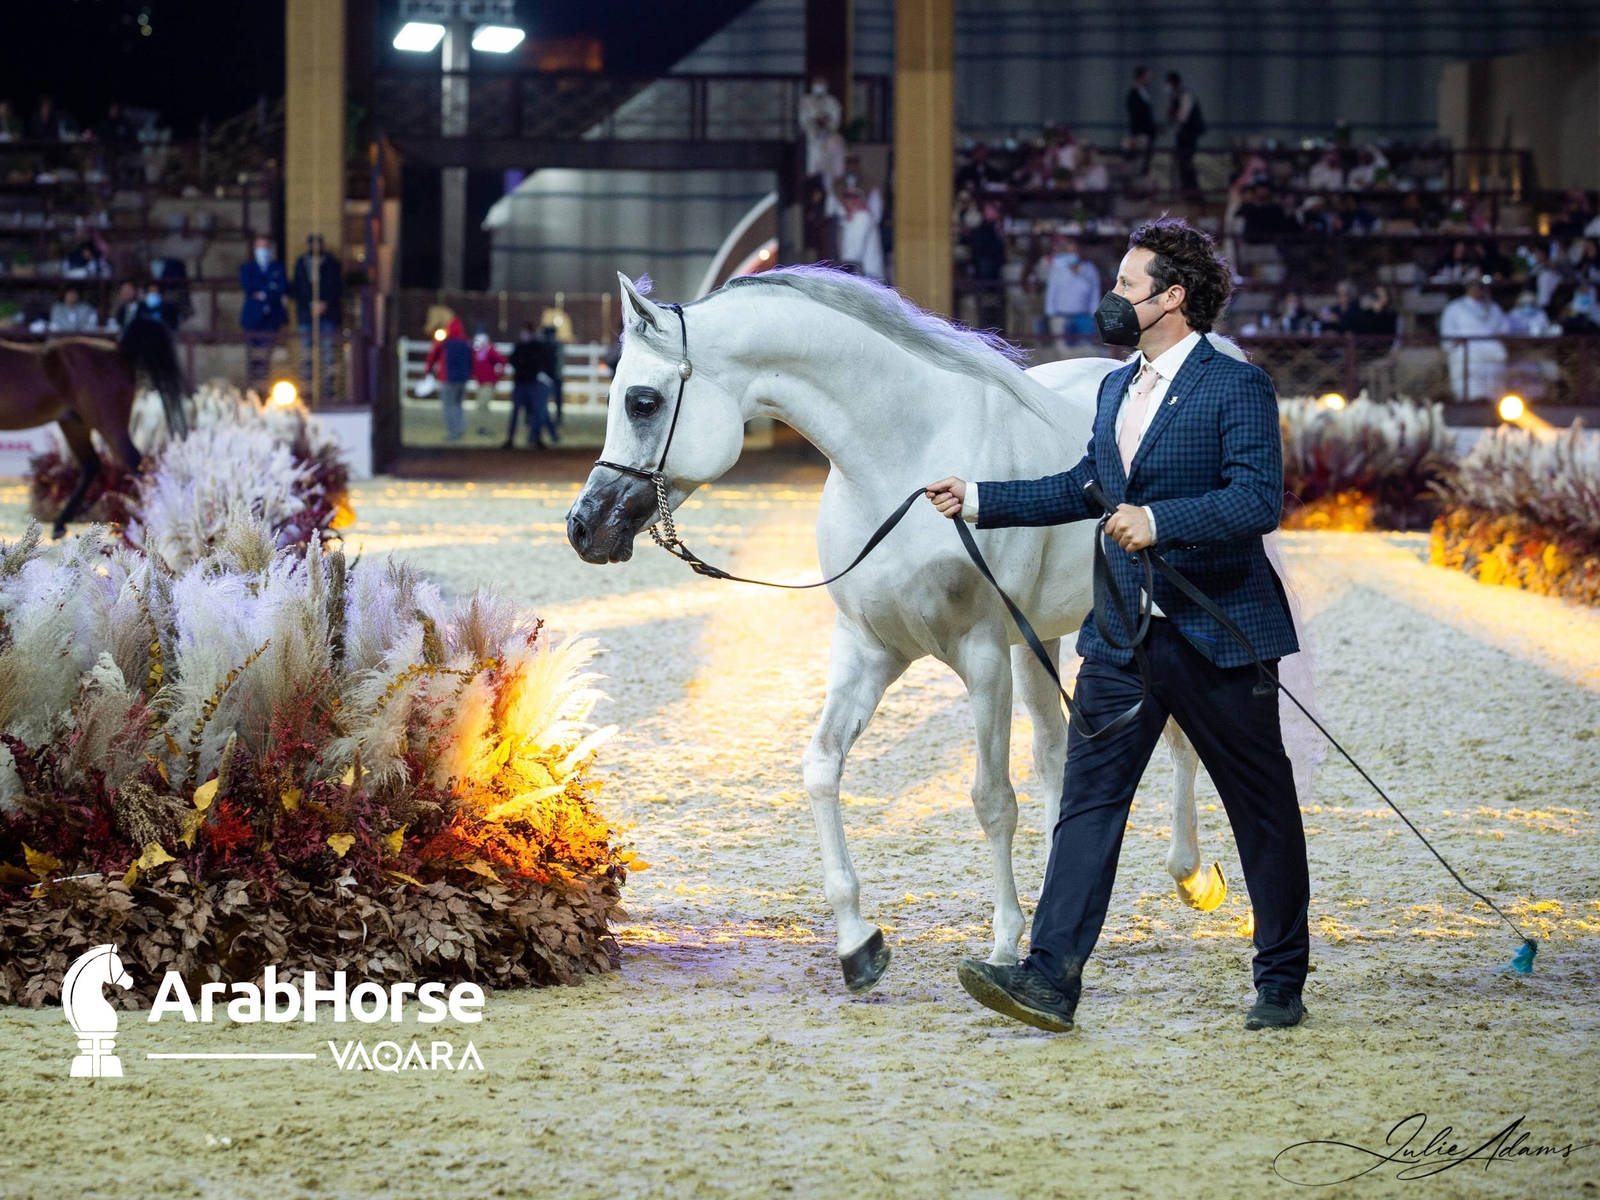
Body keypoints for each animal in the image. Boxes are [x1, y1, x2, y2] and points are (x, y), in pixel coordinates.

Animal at [0, 317, 189, 538]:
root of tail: (120, 352)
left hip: (109, 425)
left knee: (137, 465)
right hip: (75, 425)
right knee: (92, 465)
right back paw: (60, 525)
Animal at [567, 266, 1314, 993]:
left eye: (642, 401)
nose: (583, 527)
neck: (903, 460)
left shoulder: (981, 656)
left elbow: (992, 799)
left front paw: (1005, 944)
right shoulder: (869, 649)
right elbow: (821, 768)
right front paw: (858, 946)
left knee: (1184, 741)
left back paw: (1191, 877)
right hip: (1041, 643)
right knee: (1058, 756)